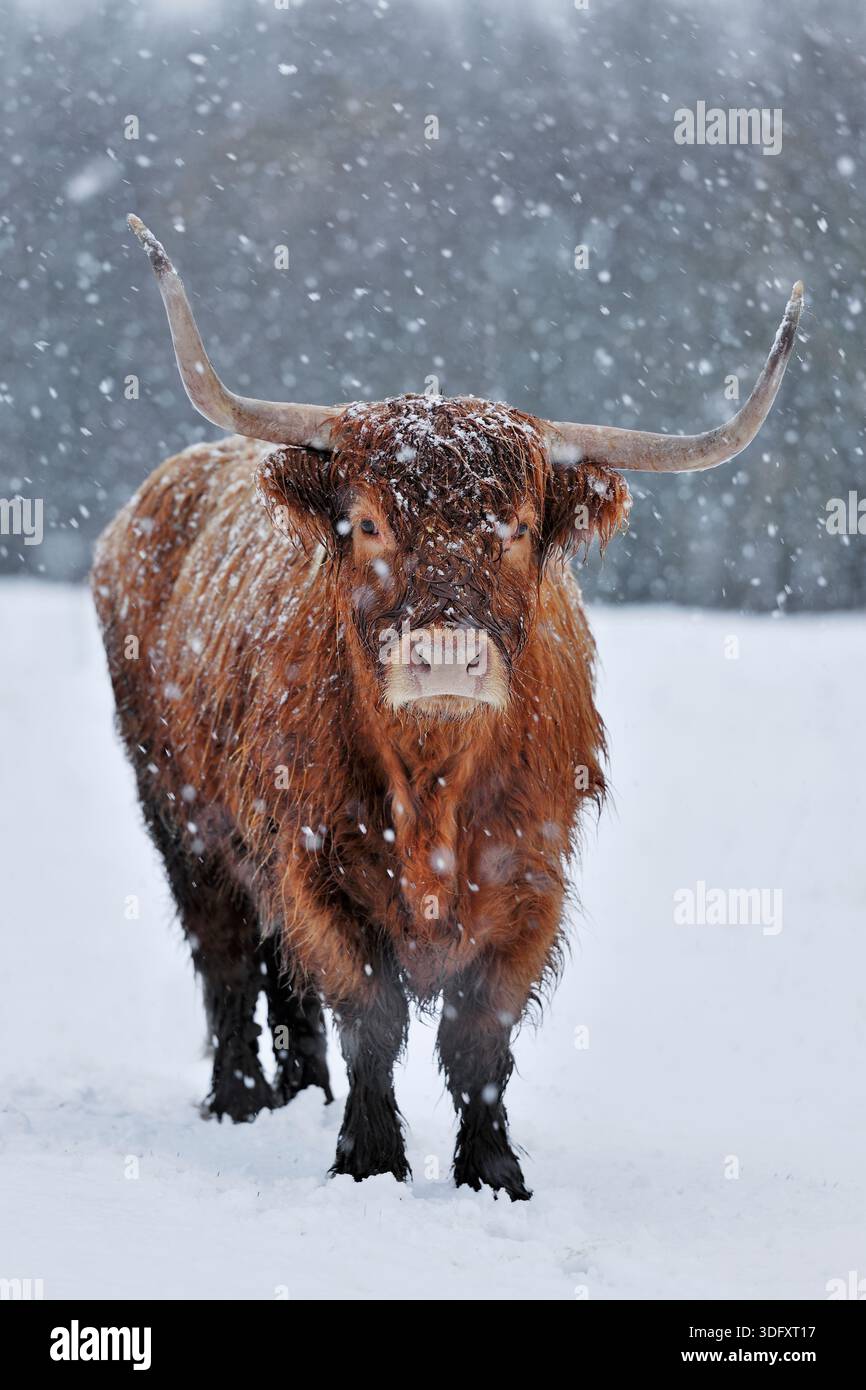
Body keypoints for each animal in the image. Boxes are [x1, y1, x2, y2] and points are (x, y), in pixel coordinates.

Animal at [91, 215, 802, 1200]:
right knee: (228, 953)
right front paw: (370, 1159)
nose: (444, 656)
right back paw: (240, 1099)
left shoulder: (530, 878)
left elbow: (479, 1036)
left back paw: (301, 1093)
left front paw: (494, 1172)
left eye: (518, 528)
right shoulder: (318, 862)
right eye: (368, 522)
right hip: (181, 816)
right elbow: (371, 1012)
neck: (431, 778)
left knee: (279, 972)